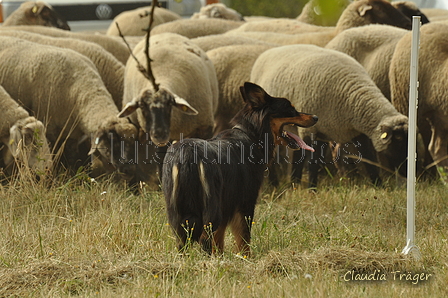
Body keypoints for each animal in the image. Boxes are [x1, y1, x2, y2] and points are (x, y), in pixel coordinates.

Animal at [163, 82, 316, 256]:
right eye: (291, 109)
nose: (316, 117)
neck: (251, 136)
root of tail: (187, 153)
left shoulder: (226, 206)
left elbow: (219, 241)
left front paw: (221, 257)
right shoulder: (245, 203)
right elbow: (244, 238)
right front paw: (245, 258)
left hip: (178, 214)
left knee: (184, 241)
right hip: (211, 210)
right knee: (204, 240)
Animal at [252, 44, 410, 187]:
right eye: (398, 140)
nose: (407, 173)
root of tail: (270, 51)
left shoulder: (354, 132)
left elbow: (369, 158)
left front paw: (379, 186)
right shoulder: (313, 131)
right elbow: (313, 163)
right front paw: (312, 190)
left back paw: (294, 183)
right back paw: (274, 184)